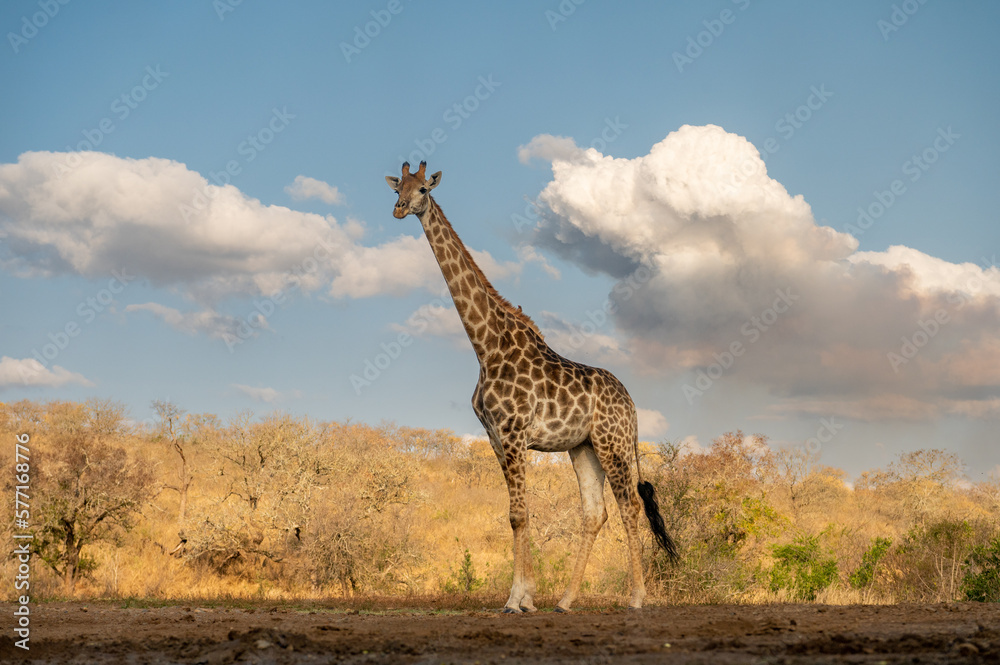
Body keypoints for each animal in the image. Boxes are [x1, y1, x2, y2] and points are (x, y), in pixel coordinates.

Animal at [386, 161, 677, 612]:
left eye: (423, 190)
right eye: (397, 186)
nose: (399, 210)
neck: (486, 347)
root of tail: (631, 403)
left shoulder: (514, 431)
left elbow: (520, 513)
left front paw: (515, 600)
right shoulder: (495, 435)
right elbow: (517, 513)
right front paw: (529, 599)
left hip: (612, 444)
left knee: (629, 506)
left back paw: (636, 598)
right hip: (583, 447)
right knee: (595, 513)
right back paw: (566, 601)